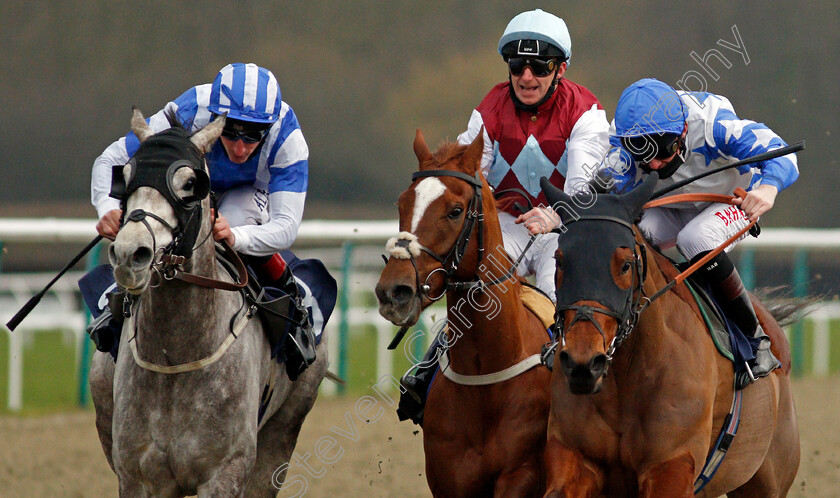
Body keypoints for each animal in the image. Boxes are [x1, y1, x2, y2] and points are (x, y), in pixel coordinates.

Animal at [90, 110, 326, 498]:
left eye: (189, 184)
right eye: (125, 177)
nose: (129, 253)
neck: (175, 355)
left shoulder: (226, 472)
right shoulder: (137, 476)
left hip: (283, 433)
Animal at [378, 130, 556, 496]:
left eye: (455, 211)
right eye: (402, 204)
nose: (393, 291)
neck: (485, 374)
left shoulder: (522, 473)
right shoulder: (449, 477)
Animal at [540, 173, 800, 496]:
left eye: (625, 265)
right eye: (560, 260)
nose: (583, 364)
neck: (627, 376)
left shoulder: (671, 465)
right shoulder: (574, 455)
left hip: (767, 480)